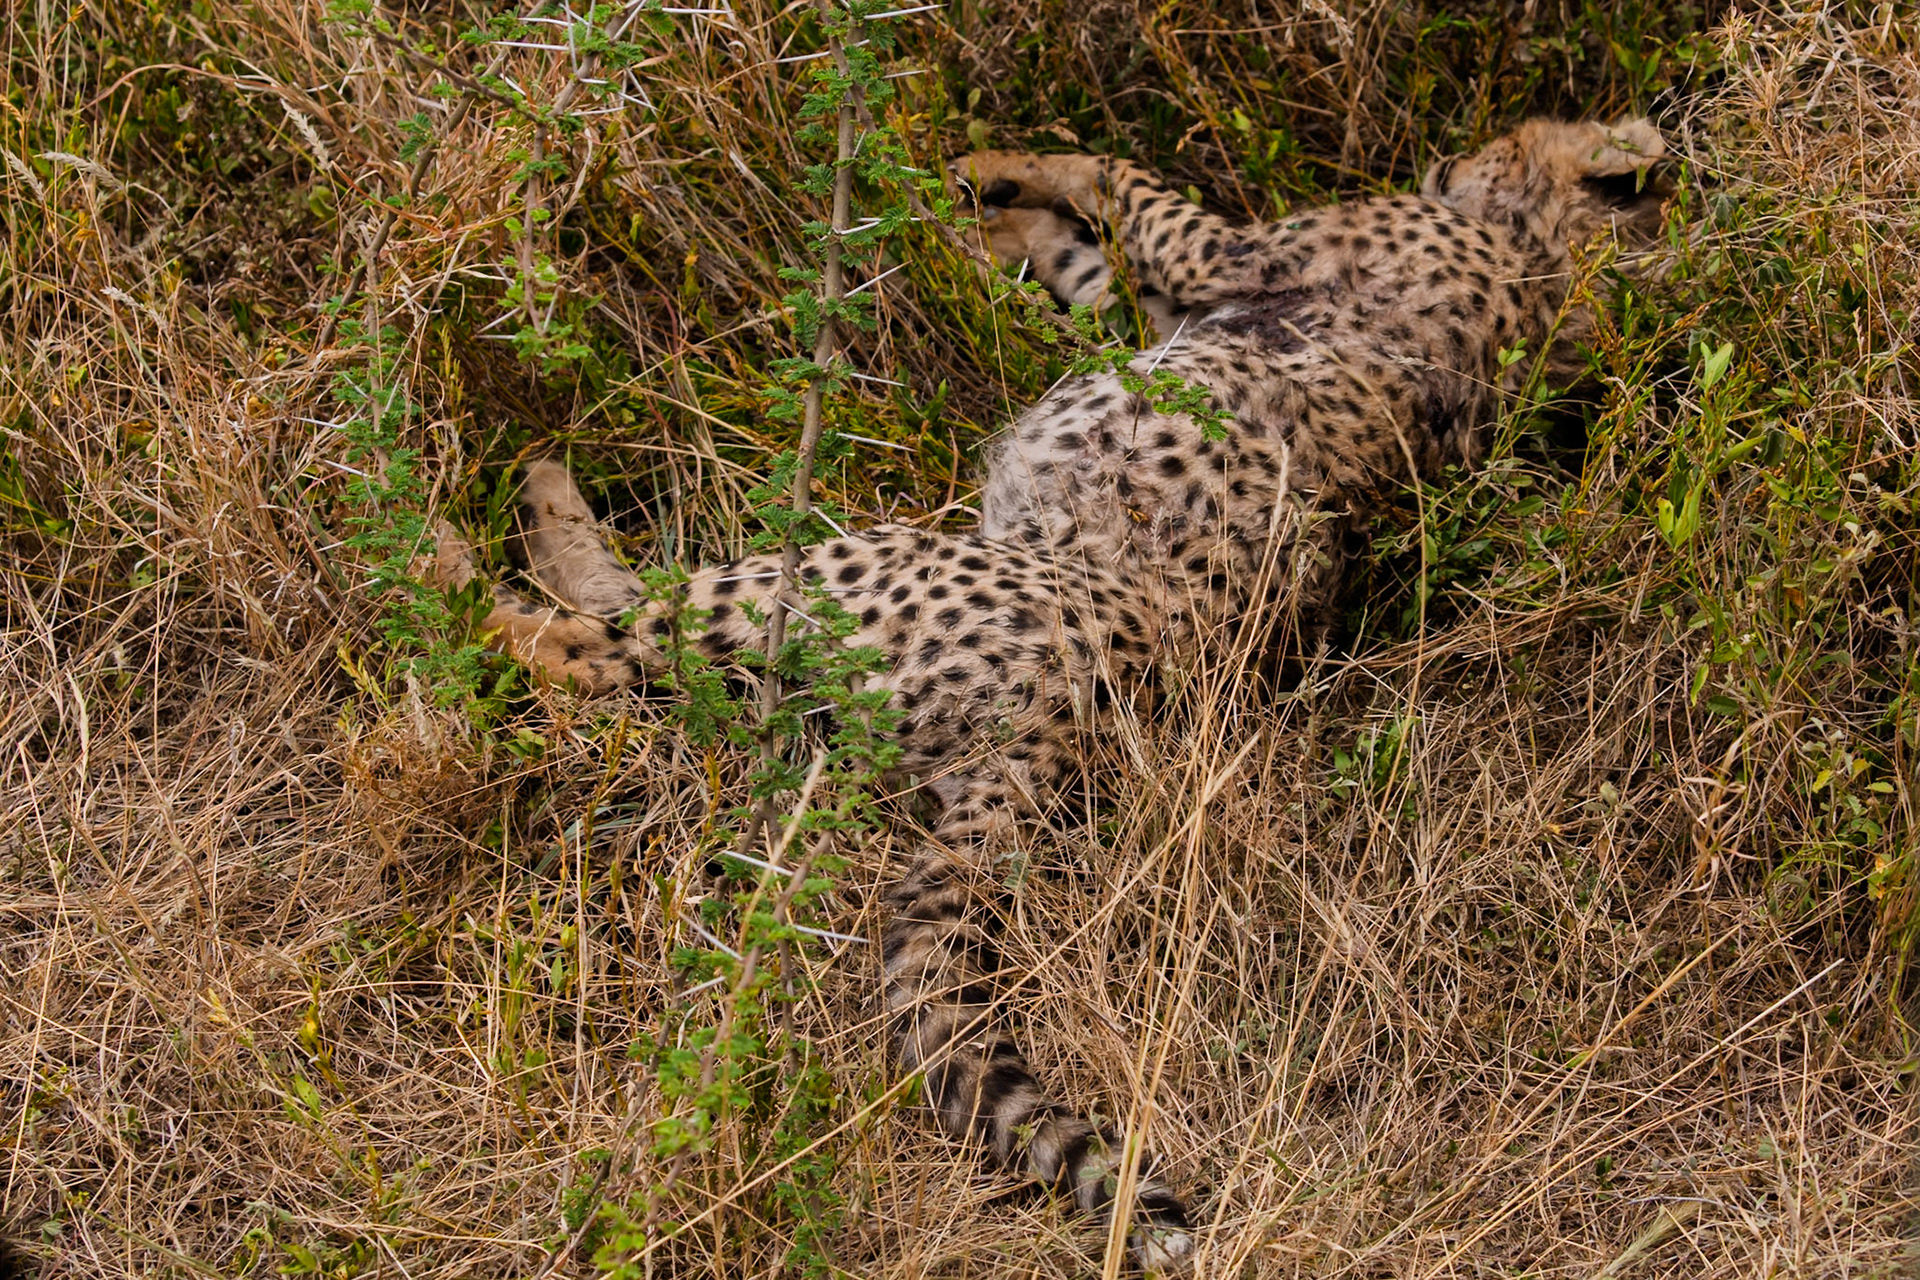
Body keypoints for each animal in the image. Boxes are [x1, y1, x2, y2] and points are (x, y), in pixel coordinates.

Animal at [432, 116, 1671, 1270]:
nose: (1457, 157)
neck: (1538, 261)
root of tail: (1074, 732)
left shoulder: (1231, 253)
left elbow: (1121, 178)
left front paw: (992, 168)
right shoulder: (1166, 302)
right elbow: (1090, 261)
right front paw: (987, 217)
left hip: (845, 575)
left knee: (594, 646)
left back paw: (451, 545)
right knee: (643, 652)